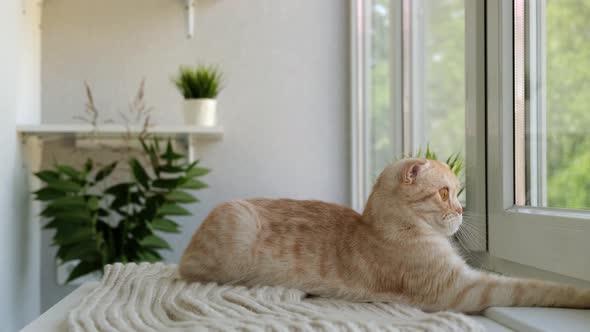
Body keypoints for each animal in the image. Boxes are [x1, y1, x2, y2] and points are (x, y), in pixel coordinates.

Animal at [179, 158, 590, 312]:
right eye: (445, 193)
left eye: (457, 192)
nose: (460, 210)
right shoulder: (461, 290)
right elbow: (535, 287)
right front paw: (581, 294)